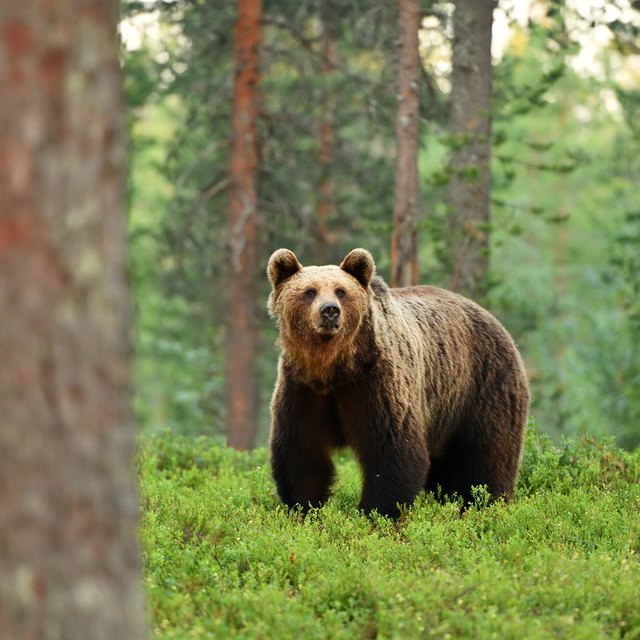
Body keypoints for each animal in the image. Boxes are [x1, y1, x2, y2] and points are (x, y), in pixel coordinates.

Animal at [264, 248, 528, 516]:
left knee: (487, 457)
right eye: (309, 291)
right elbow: (301, 453)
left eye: (341, 291)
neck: (334, 368)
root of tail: (494, 320)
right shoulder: (302, 388)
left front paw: (375, 513)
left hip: (483, 387)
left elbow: (392, 449)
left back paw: (485, 504)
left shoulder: (375, 383)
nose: (330, 310)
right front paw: (304, 507)